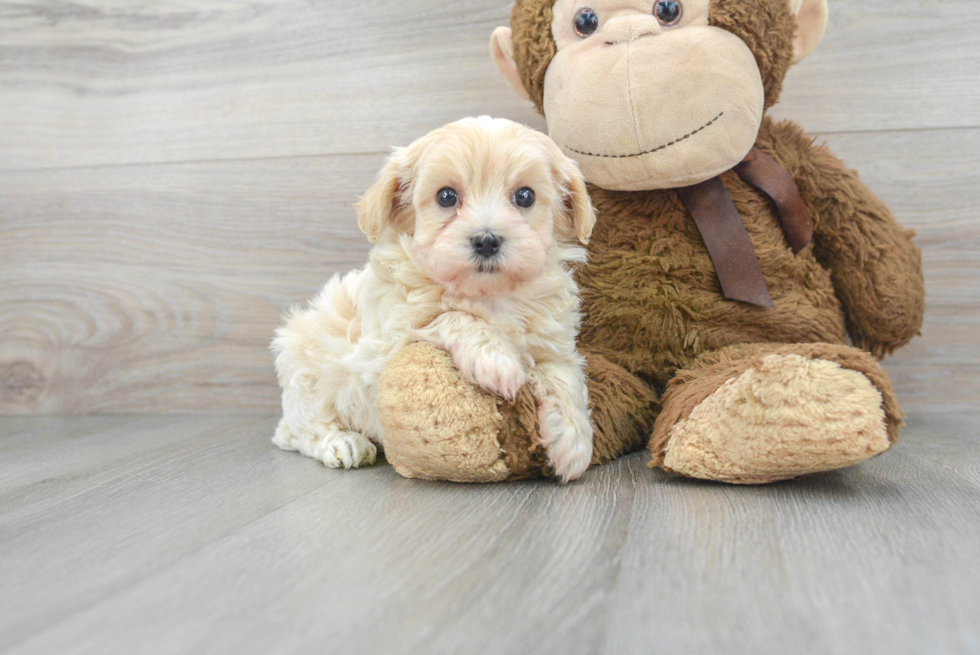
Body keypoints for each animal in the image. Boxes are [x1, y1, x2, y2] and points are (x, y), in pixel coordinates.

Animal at [274, 118, 596, 484]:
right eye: (446, 196)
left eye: (525, 196)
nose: (487, 240)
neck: (488, 294)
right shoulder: (388, 344)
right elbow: (452, 316)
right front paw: (496, 360)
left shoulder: (553, 343)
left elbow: (564, 377)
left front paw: (574, 442)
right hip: (305, 369)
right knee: (302, 430)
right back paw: (343, 443)